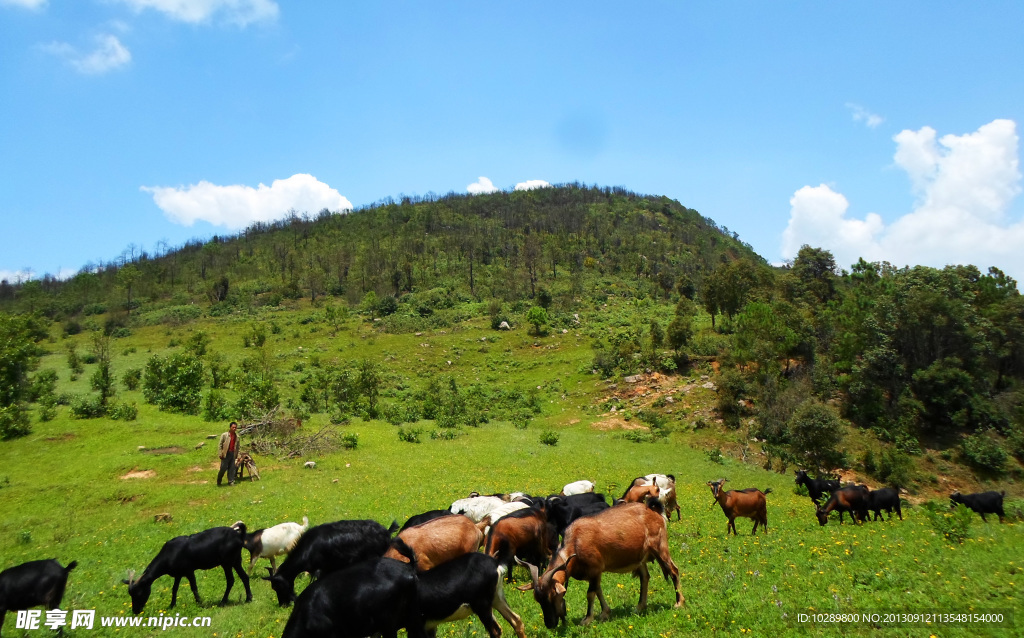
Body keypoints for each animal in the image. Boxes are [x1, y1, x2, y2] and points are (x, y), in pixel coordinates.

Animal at [122, 524, 250, 614]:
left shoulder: (189, 570)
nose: (135, 611)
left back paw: (223, 602)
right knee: (244, 576)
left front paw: (200, 603)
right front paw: (172, 605)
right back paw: (248, 599)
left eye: (139, 593)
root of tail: (239, 535)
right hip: (236, 560)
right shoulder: (178, 573)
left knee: (230, 580)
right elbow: (174, 589)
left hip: (227, 562)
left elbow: (194, 587)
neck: (169, 554)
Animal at [516, 501, 684, 626]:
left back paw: (678, 603)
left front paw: (587, 619)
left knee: (674, 570)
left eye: (553, 596)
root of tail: (656, 513)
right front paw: (605, 613)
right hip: (640, 557)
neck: (576, 542)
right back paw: (639, 607)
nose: (550, 624)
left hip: (660, 547)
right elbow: (598, 590)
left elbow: (591, 593)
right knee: (645, 576)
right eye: (537, 599)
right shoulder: (595, 573)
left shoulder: (595, 568)